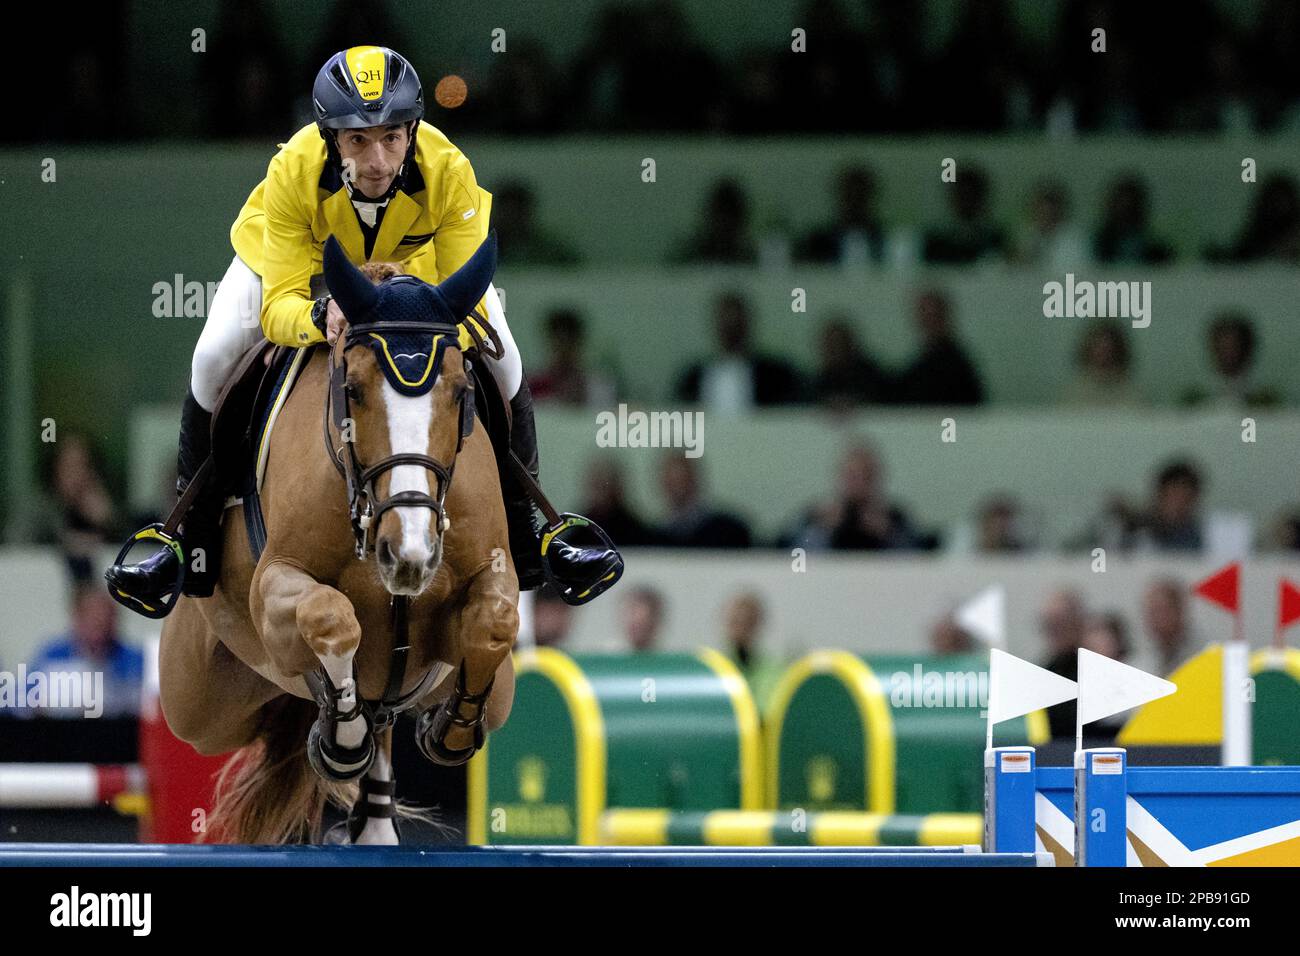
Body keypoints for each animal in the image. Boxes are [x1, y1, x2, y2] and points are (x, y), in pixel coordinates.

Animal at [154, 231, 514, 842]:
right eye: (354, 390)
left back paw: (377, 822)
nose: (410, 555)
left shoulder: (488, 578)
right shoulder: (274, 586)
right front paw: (342, 739)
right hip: (196, 704)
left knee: (393, 721)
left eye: (460, 392)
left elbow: (496, 621)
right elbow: (330, 617)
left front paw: (453, 728)